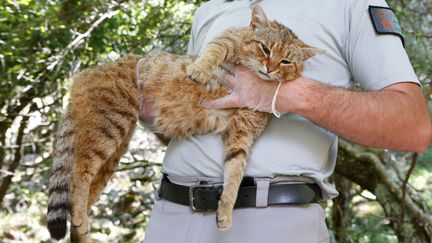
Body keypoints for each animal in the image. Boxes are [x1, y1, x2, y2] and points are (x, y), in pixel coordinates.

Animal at [48, 4, 324, 242]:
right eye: (265, 49)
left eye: (286, 61)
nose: (269, 68)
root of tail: (85, 74)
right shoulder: (228, 38)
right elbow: (213, 52)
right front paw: (199, 70)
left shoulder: (241, 133)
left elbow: (234, 174)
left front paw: (225, 210)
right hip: (110, 124)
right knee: (78, 173)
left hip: (113, 149)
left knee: (83, 187)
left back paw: (81, 226)